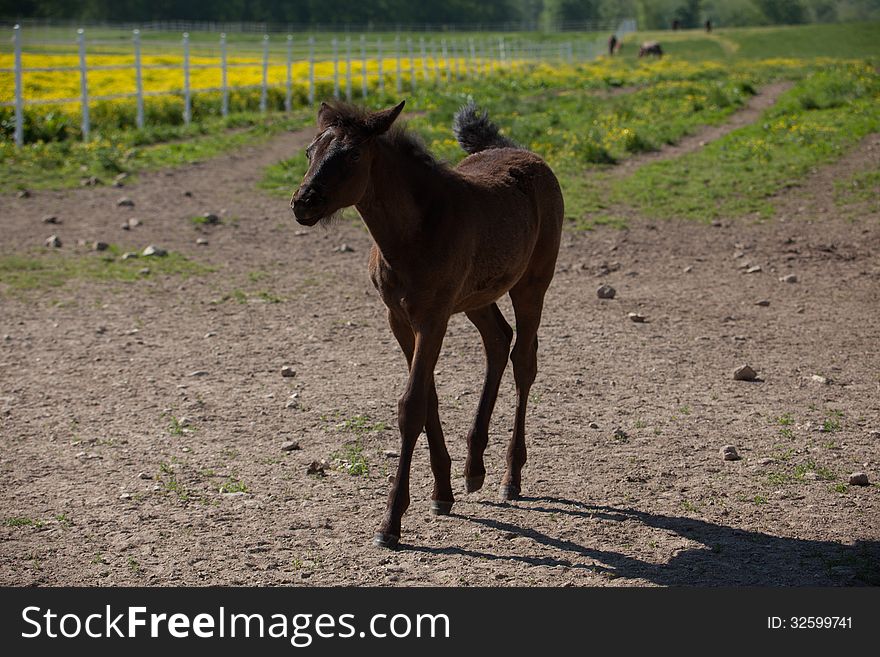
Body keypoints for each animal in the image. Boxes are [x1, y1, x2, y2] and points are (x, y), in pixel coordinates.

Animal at [290, 98, 564, 548]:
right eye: (311, 151)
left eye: (353, 155)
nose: (303, 202)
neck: (412, 234)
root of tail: (525, 152)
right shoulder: (399, 318)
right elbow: (428, 398)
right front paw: (442, 492)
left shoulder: (432, 318)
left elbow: (412, 404)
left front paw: (390, 522)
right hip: (475, 297)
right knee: (498, 339)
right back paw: (474, 468)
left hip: (532, 283)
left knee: (524, 360)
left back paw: (510, 476)